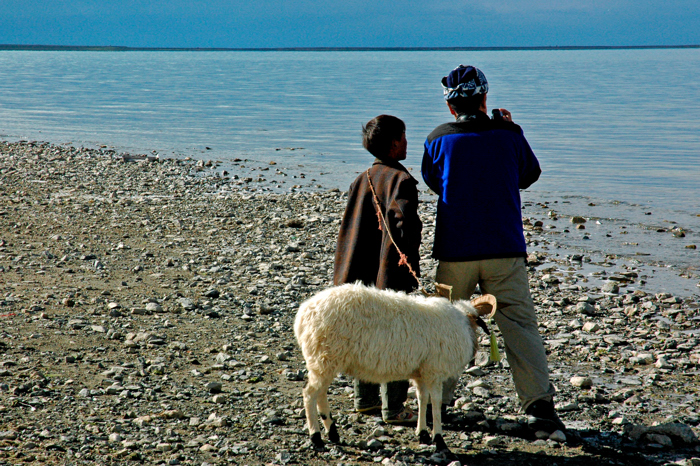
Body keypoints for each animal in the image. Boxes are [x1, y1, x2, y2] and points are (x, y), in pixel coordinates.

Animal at [292, 280, 494, 452]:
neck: (462, 324)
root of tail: (303, 314)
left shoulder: (421, 373)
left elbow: (422, 399)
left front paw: (422, 434)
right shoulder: (434, 371)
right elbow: (435, 404)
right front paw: (439, 440)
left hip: (326, 362)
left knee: (320, 395)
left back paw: (332, 433)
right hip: (324, 358)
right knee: (309, 394)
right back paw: (316, 437)